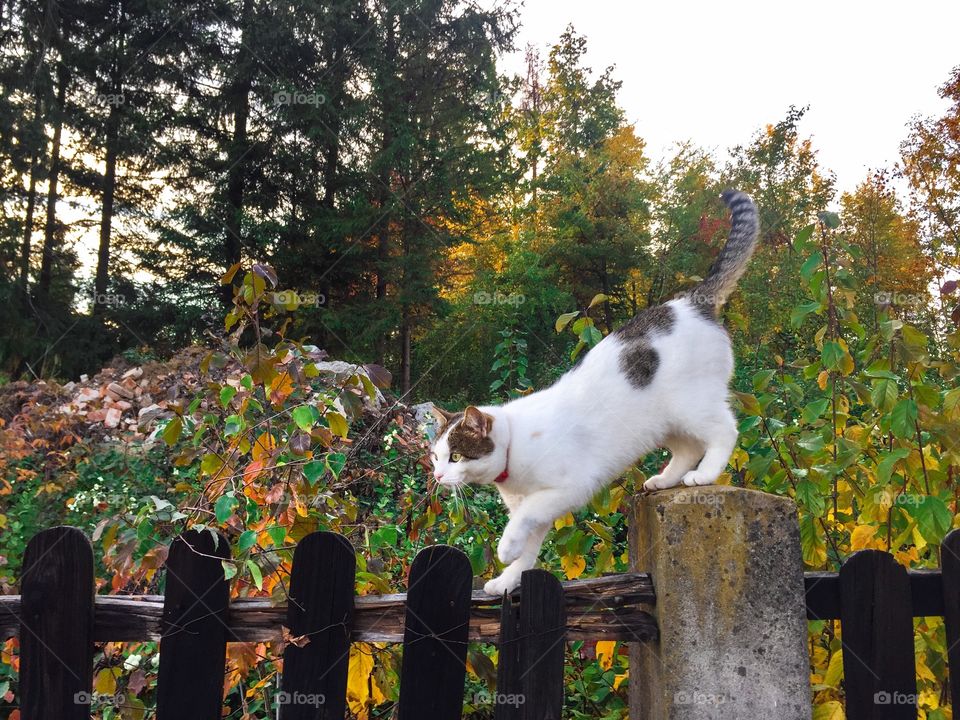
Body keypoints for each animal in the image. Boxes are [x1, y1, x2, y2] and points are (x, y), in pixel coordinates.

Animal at [428, 188, 756, 592]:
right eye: (435, 456)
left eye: (456, 456)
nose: (437, 476)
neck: (513, 451)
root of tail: (689, 301)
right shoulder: (537, 504)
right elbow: (530, 547)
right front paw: (509, 579)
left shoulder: (565, 489)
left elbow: (523, 520)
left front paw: (506, 549)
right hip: (663, 423)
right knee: (688, 448)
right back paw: (664, 480)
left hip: (692, 405)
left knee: (725, 430)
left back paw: (705, 475)